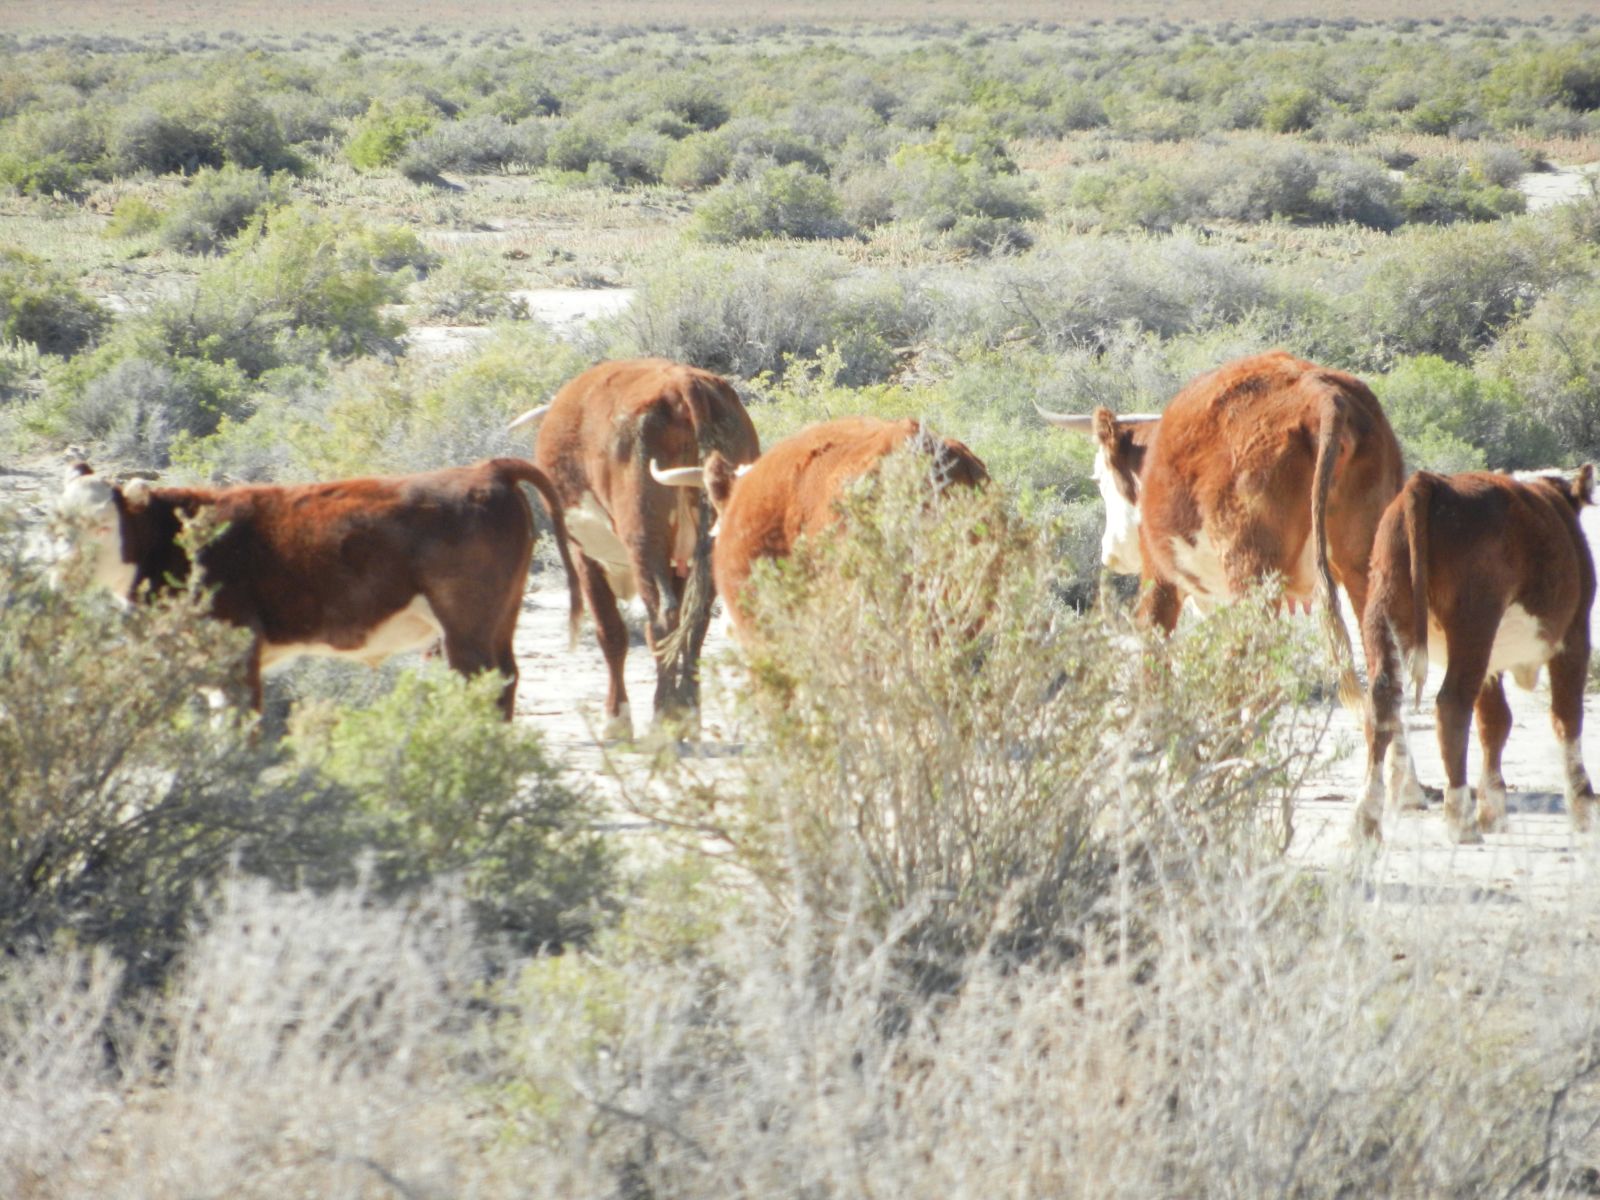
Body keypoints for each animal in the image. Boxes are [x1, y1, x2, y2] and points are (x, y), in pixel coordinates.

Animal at [56, 458, 580, 720]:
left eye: (101, 526)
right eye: (55, 524)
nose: (61, 574)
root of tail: (486, 469)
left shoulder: (238, 653)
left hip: (466, 629)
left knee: (485, 684)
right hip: (499, 620)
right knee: (506, 679)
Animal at [508, 358, 760, 738]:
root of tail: (685, 384)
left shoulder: (585, 555)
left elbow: (610, 633)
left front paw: (616, 719)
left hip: (644, 538)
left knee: (661, 621)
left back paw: (663, 718)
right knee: (696, 623)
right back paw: (687, 715)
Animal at [1043, 351, 1406, 709]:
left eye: (1098, 478)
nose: (1110, 553)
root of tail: (1320, 393)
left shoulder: (1160, 576)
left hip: (1250, 575)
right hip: (1363, 566)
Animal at [1354, 467, 1597, 844]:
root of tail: (1430, 482)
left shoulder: (1492, 662)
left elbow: (1495, 721)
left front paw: (1493, 808)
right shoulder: (1574, 635)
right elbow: (1566, 717)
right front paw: (1583, 803)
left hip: (1385, 605)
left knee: (1382, 700)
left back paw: (1366, 819)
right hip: (1474, 622)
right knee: (1452, 704)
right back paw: (1460, 817)